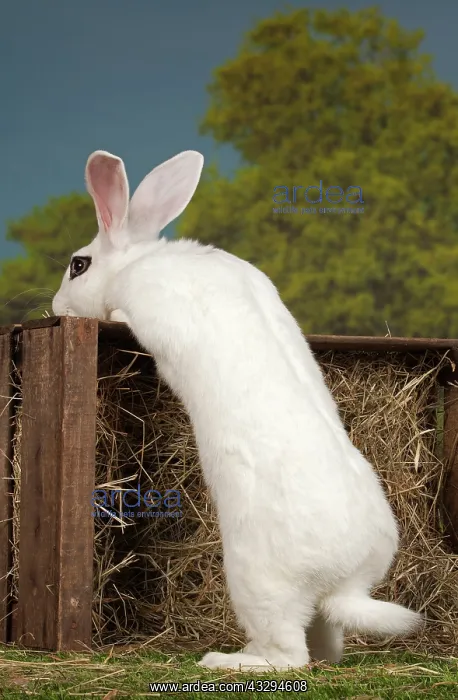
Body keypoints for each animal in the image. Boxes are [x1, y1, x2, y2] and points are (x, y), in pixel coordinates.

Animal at [52, 149, 423, 672]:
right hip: (321, 608)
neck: (140, 259)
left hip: (257, 586)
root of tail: (347, 582)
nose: (54, 308)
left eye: (78, 265)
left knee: (290, 656)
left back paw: (225, 660)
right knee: (326, 644)